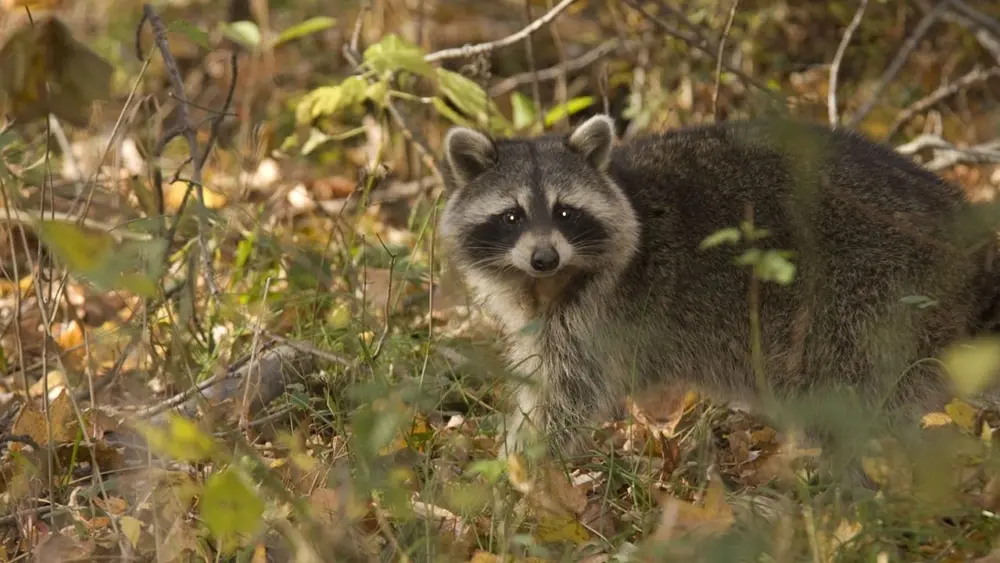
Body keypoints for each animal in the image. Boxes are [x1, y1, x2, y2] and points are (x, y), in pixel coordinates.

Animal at [437, 114, 1000, 456]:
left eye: (565, 212)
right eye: (512, 215)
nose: (544, 257)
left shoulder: (596, 315)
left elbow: (565, 396)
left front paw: (520, 471)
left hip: (870, 292)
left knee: (846, 395)